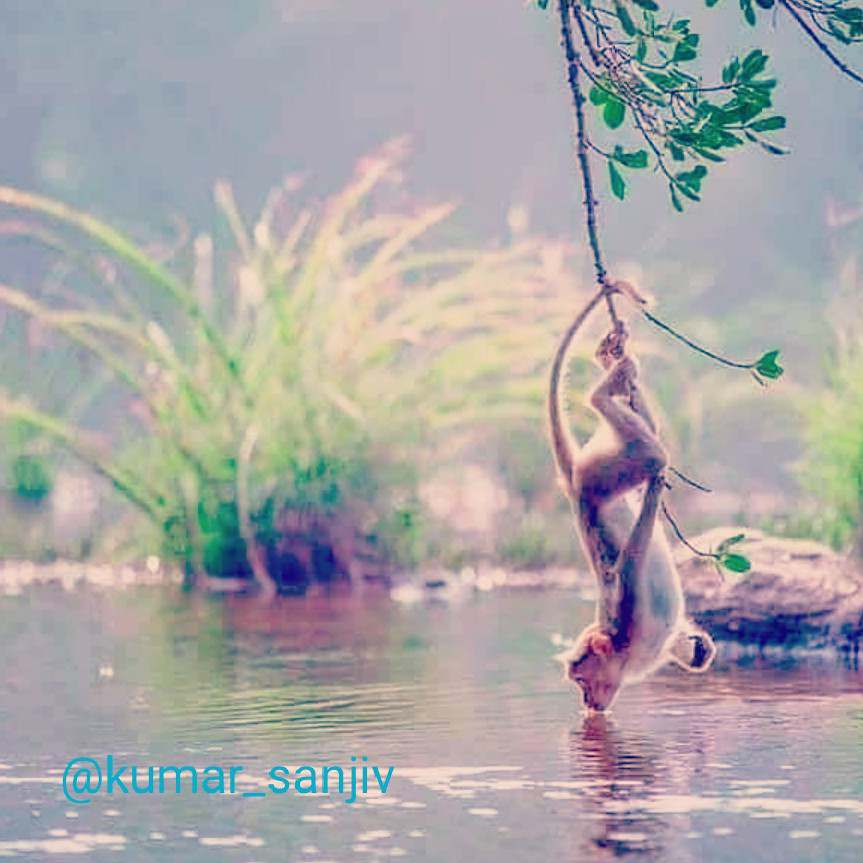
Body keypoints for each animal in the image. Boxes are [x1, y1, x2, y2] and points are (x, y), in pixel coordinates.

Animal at [549, 281, 716, 712]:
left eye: (581, 679)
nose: (588, 703)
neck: (623, 651)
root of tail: (576, 485)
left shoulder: (626, 616)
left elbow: (631, 561)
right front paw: (697, 647)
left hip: (603, 475)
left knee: (652, 452)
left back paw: (602, 391)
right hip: (605, 471)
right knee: (650, 442)